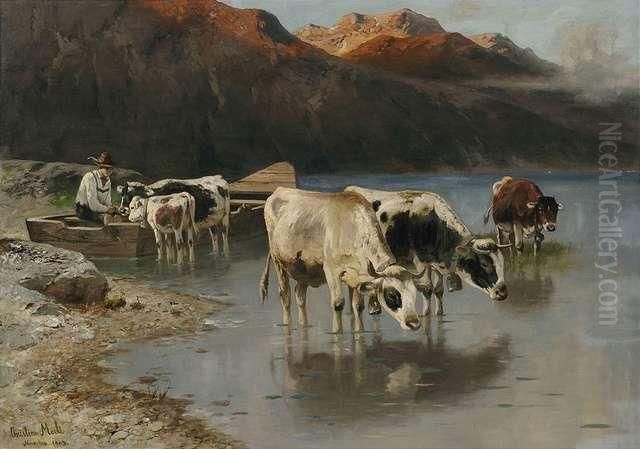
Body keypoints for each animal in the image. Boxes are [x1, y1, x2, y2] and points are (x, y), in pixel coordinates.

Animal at [259, 187, 425, 333]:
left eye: (414, 293)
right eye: (392, 294)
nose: (414, 323)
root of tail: (278, 191)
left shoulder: (358, 276)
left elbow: (358, 306)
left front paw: (359, 332)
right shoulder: (331, 270)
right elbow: (338, 303)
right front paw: (337, 333)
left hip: (303, 268)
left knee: (300, 295)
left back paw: (303, 325)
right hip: (278, 261)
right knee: (285, 295)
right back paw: (287, 326)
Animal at [345, 186, 509, 317]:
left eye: (503, 263)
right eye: (484, 264)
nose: (503, 293)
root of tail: (350, 189)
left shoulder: (435, 263)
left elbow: (438, 290)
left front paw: (439, 313)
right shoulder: (420, 261)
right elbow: (427, 288)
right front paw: (426, 315)